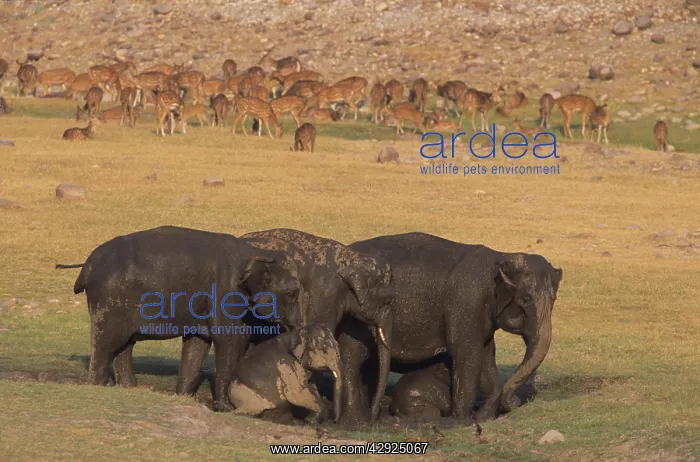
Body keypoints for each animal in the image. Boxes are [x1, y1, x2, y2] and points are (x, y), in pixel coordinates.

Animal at [57, 226, 303, 411]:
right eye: (293, 294)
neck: (258, 252)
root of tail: (88, 263)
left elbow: (198, 342)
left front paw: (184, 396)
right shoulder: (227, 293)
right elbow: (231, 340)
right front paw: (225, 408)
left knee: (124, 344)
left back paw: (128, 387)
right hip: (110, 297)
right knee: (108, 342)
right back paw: (99, 385)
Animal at [338, 232, 562, 423]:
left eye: (554, 299)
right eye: (525, 299)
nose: (516, 402)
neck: (499, 258)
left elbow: (486, 356)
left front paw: (483, 418)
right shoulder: (467, 303)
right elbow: (466, 355)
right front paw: (461, 421)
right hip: (353, 318)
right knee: (352, 359)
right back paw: (357, 422)